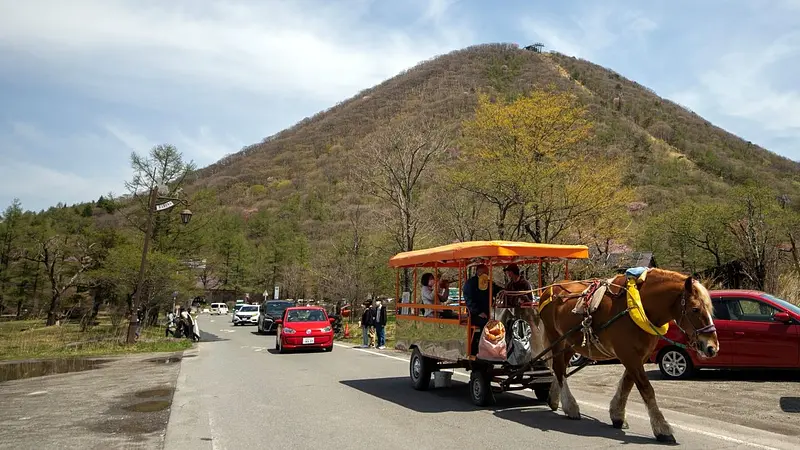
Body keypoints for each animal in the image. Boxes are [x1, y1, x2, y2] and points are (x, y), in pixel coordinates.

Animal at [536, 268, 720, 442]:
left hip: (570, 343)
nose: (712, 347)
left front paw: (617, 415)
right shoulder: (628, 354)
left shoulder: (640, 355)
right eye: (695, 309)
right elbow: (646, 388)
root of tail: (548, 290)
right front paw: (662, 428)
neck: (638, 306)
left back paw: (554, 399)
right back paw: (570, 406)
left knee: (560, 368)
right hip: (556, 338)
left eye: (710, 309)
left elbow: (627, 384)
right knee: (559, 368)